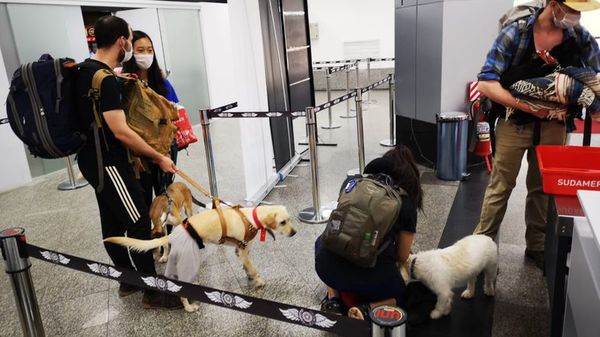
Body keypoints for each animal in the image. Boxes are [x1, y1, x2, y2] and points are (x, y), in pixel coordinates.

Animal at [107, 205, 298, 312]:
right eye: (283, 222)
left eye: (289, 220)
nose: (294, 233)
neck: (251, 218)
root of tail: (174, 234)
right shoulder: (243, 251)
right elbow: (253, 268)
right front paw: (258, 281)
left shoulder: (242, 250)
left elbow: (247, 266)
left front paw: (250, 276)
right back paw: (189, 308)